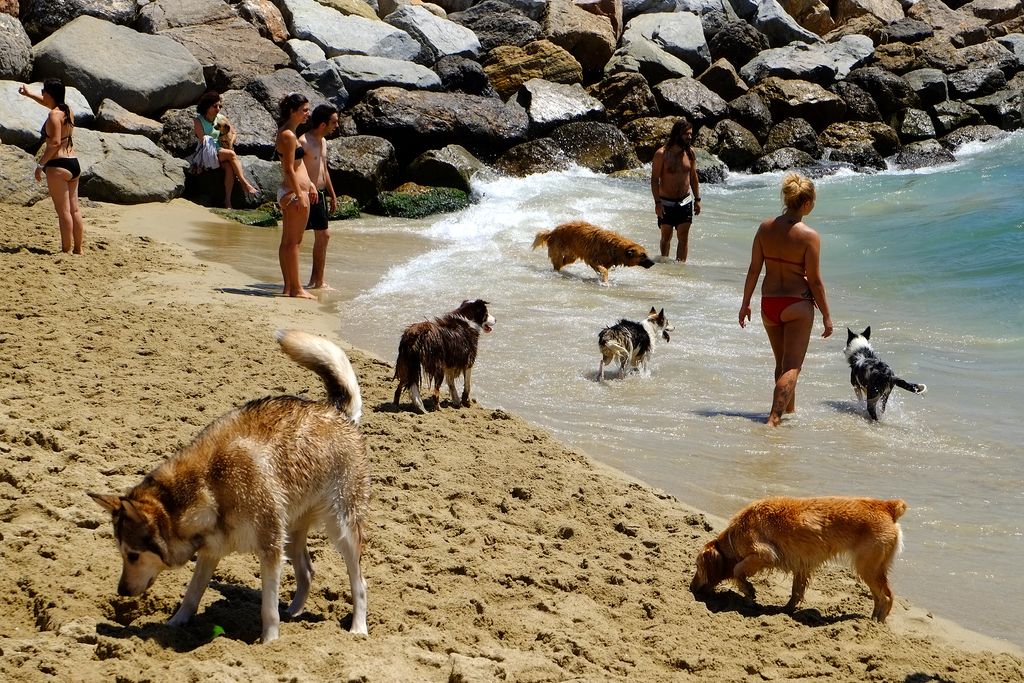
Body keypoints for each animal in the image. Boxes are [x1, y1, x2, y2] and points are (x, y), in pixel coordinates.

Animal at [88, 331, 368, 643]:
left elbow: (267, 608)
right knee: (307, 571)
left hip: (340, 526)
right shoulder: (212, 549)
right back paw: (293, 611)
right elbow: (192, 594)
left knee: (359, 581)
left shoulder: (270, 549)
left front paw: (270, 641)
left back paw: (358, 626)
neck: (209, 486)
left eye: (133, 555)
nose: (121, 591)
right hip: (292, 530)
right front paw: (174, 624)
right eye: (121, 552)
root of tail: (335, 412)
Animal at [688, 493, 905, 622]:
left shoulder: (765, 553)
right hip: (871, 568)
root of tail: (887, 506)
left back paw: (876, 624)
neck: (734, 536)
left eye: (698, 566)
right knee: (880, 597)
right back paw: (872, 620)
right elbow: (796, 592)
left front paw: (749, 590)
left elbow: (737, 570)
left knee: (886, 596)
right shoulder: (801, 566)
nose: (690, 588)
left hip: (867, 566)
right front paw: (786, 609)